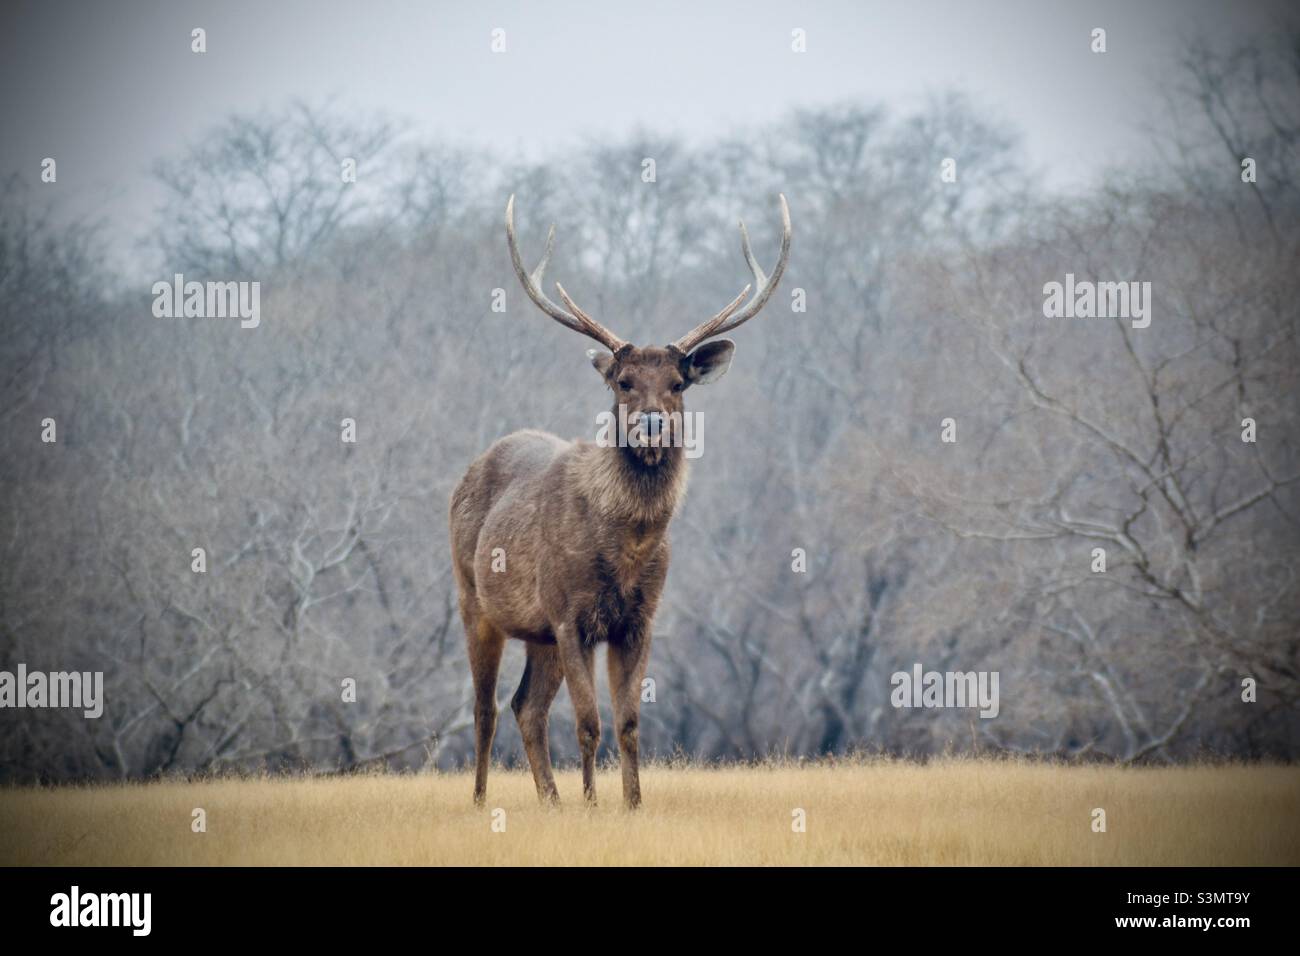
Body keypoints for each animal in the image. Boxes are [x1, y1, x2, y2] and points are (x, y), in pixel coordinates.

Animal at [448, 193, 791, 809]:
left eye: (679, 383)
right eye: (623, 381)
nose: (652, 424)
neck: (625, 550)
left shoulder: (638, 619)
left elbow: (629, 721)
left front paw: (631, 804)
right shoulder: (569, 614)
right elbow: (589, 723)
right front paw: (592, 805)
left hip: (537, 633)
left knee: (525, 706)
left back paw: (551, 801)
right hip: (474, 599)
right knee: (486, 708)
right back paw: (484, 799)